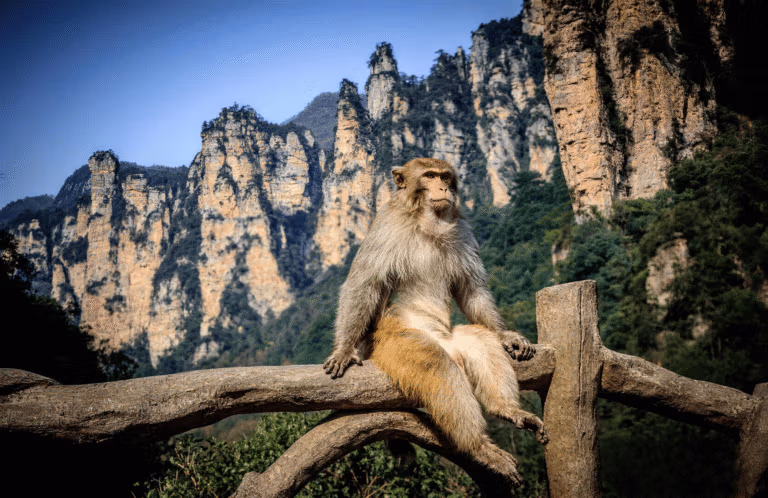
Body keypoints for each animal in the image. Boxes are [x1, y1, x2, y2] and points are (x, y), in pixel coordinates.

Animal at [323, 157, 548, 457]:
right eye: (429, 176)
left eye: (444, 176)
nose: (442, 187)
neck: (425, 221)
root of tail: (447, 345)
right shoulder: (387, 225)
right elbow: (365, 284)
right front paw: (344, 349)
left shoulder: (462, 231)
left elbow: (471, 288)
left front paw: (506, 335)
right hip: (391, 341)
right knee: (435, 362)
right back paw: (477, 445)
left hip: (452, 338)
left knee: (479, 340)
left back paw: (506, 409)